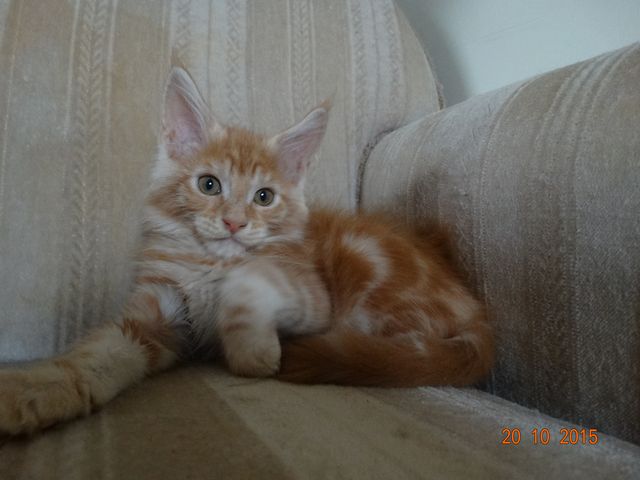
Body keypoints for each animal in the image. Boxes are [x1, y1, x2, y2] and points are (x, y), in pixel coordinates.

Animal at [0, 67, 493, 435]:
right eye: (208, 185)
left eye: (264, 197)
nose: (235, 222)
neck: (209, 260)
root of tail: (477, 316)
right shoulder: (155, 313)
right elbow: (98, 355)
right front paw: (38, 389)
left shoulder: (311, 294)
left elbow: (249, 276)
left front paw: (252, 348)